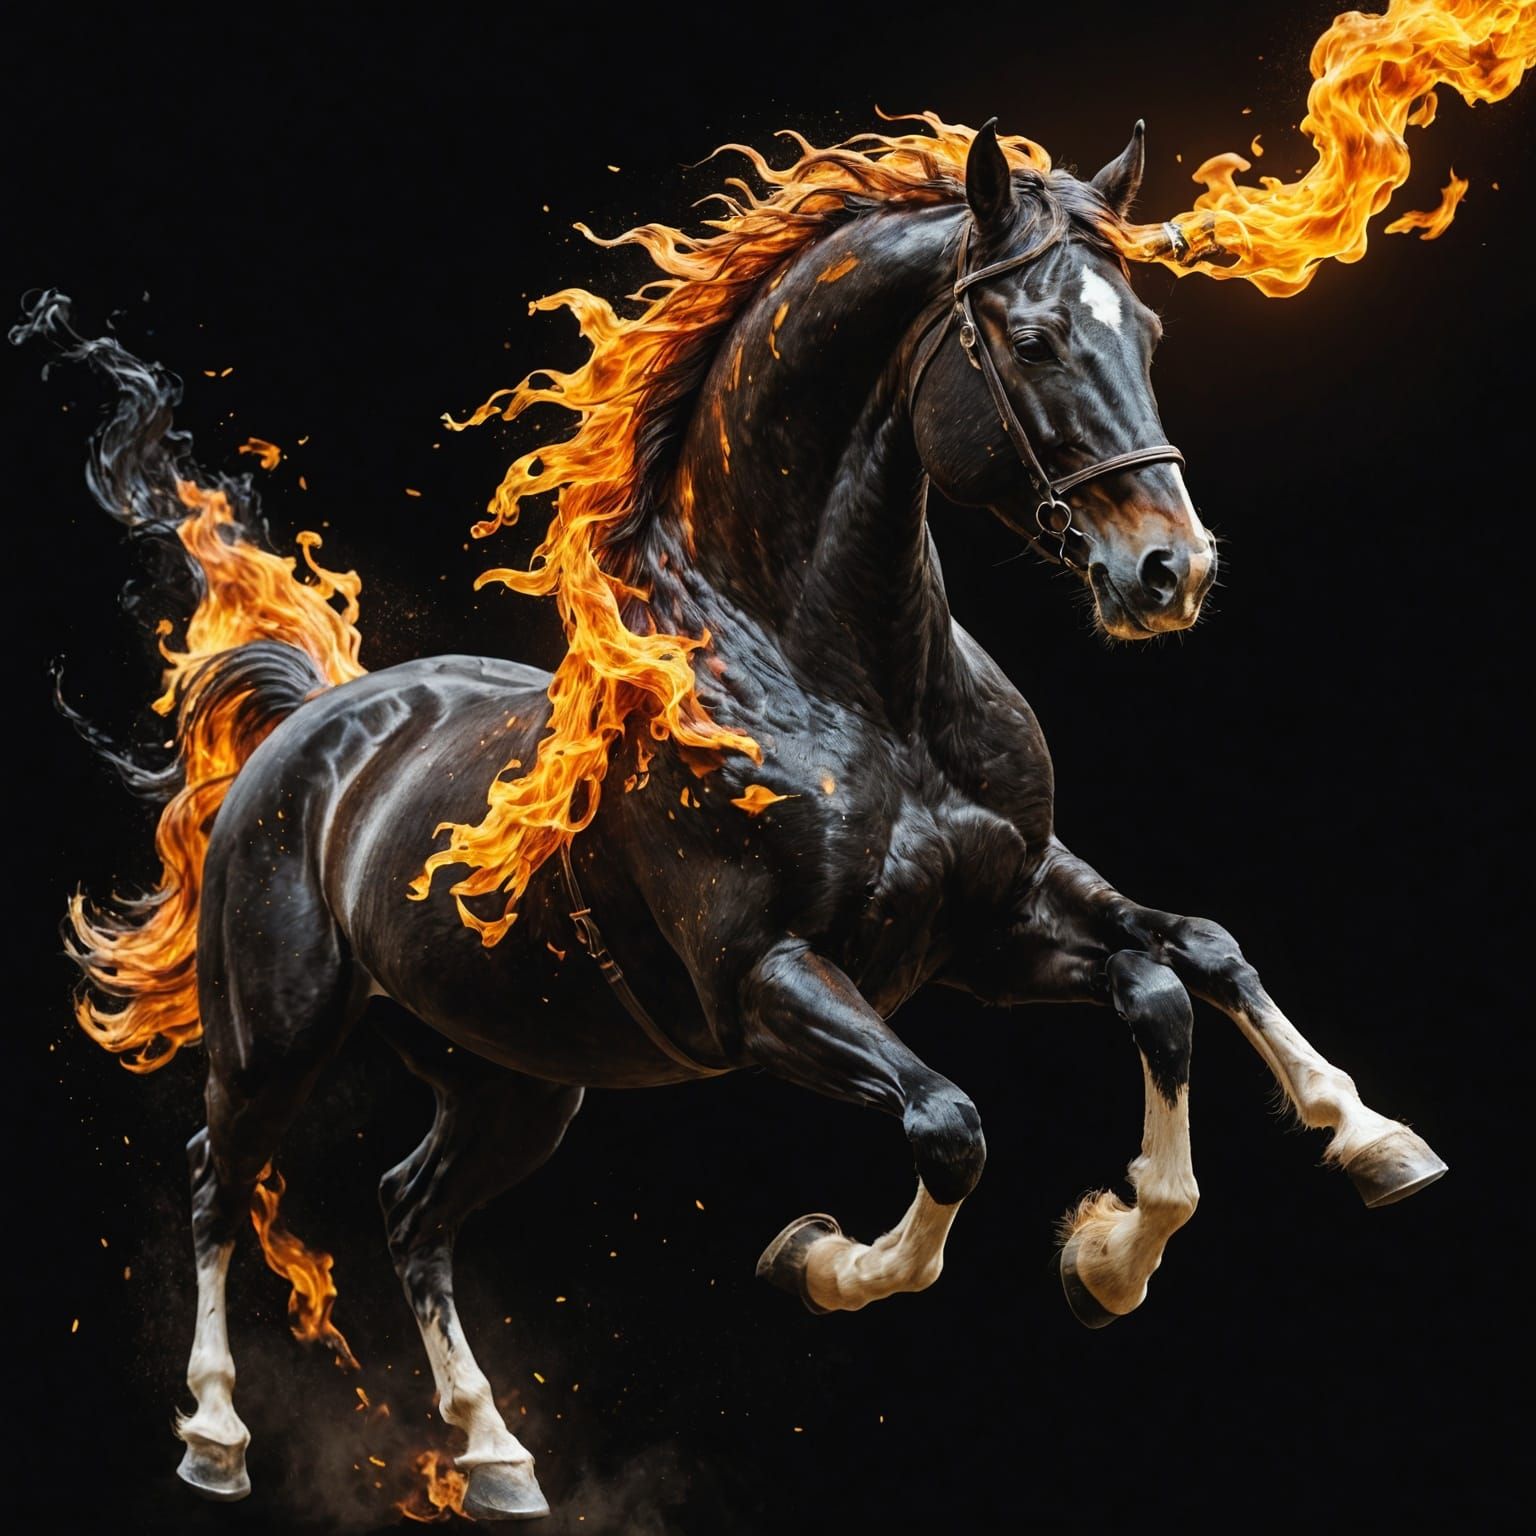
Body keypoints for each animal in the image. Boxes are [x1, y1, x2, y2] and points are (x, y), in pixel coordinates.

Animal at [28, 116, 1446, 1522]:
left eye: (1144, 331)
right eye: (1036, 337)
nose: (1170, 572)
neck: (848, 684)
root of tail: (313, 729)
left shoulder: (999, 923)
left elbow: (1183, 966)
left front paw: (1292, 1176)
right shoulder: (765, 985)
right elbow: (952, 1125)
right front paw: (825, 1260)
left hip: (514, 1080)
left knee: (410, 1211)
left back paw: (496, 1457)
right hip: (276, 1039)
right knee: (218, 1184)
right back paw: (217, 1437)